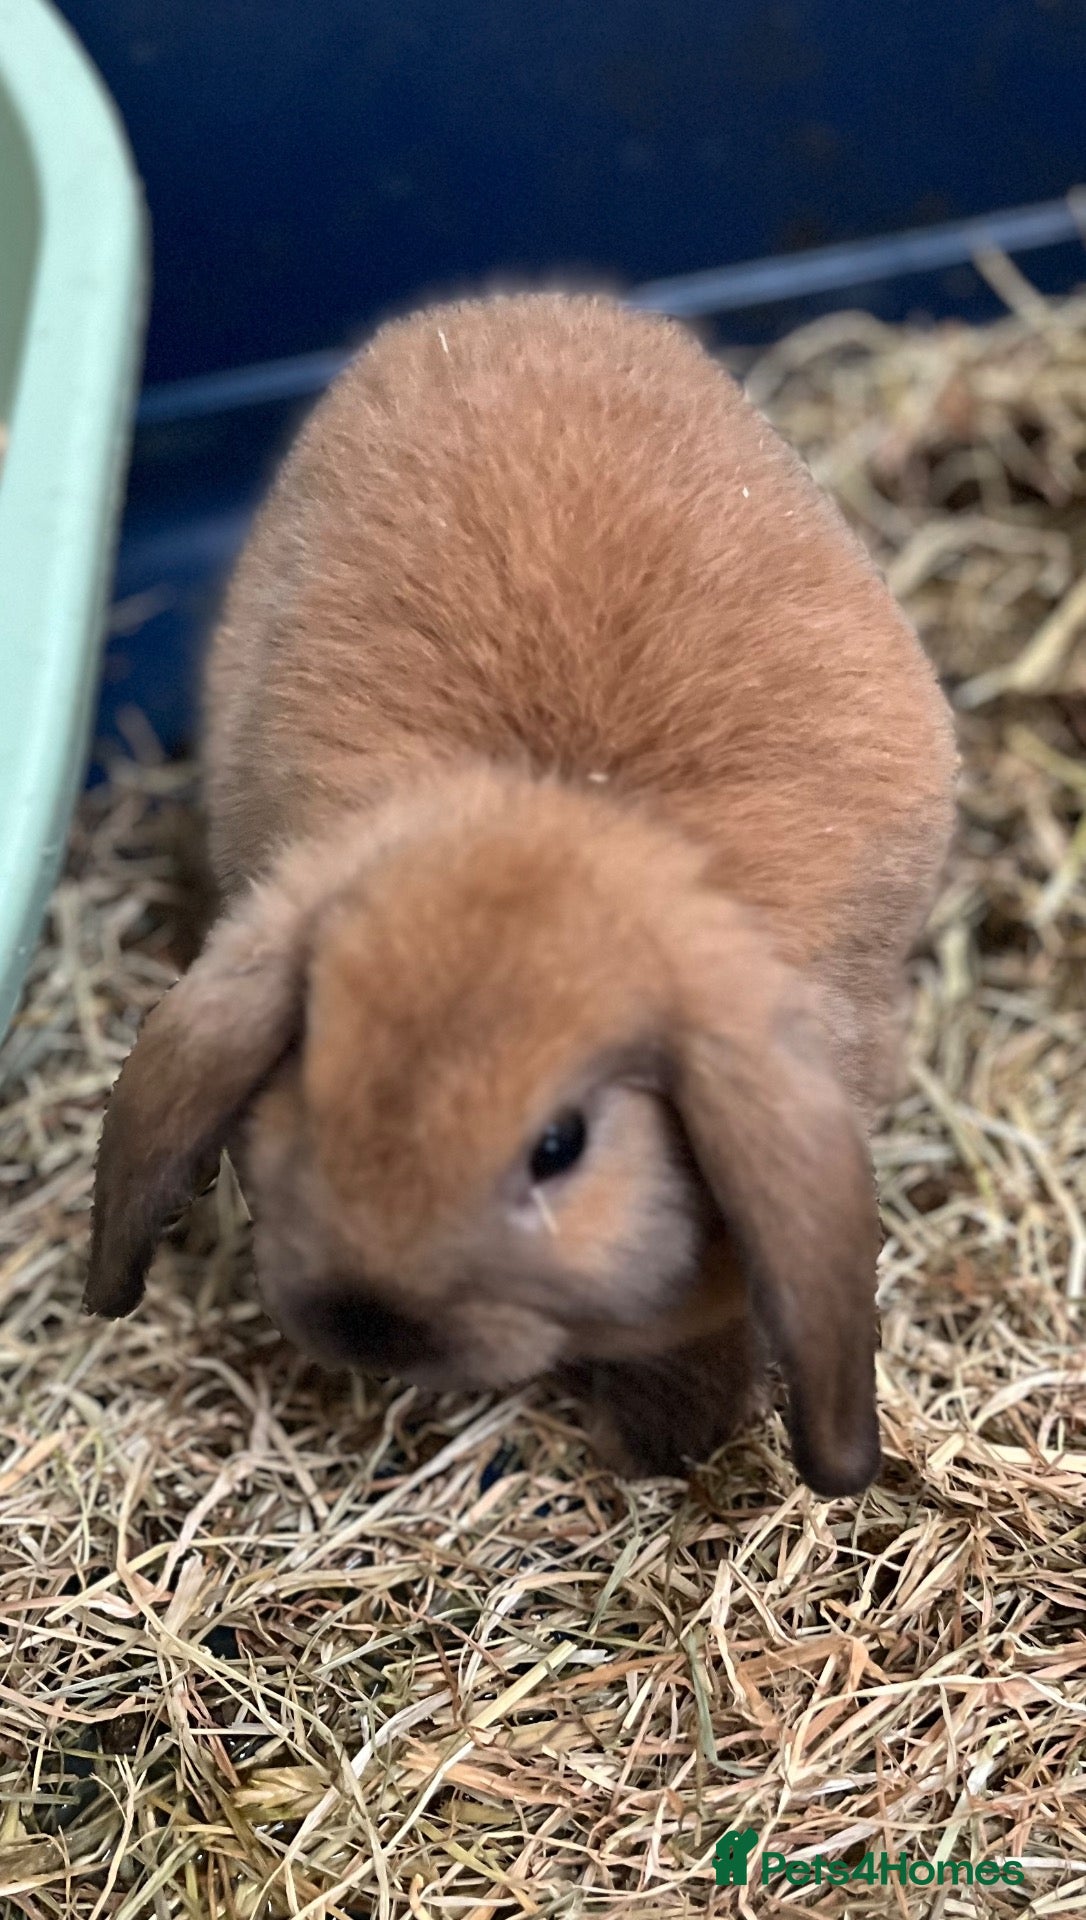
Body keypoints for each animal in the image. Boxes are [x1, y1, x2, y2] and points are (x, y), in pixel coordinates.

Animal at [86, 292, 958, 1495]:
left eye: (561, 1147)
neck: (562, 814)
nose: (368, 1323)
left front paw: (658, 1449)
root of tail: (507, 304)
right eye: (313, 1069)